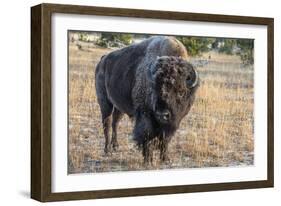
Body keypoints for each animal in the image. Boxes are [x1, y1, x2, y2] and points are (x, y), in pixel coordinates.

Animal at [95, 35, 198, 164]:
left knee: (115, 122)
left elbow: (165, 139)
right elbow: (147, 136)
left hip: (119, 107)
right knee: (107, 124)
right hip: (105, 103)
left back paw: (115, 146)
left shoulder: (170, 123)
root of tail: (102, 60)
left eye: (181, 92)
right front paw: (148, 160)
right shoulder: (146, 116)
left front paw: (165, 158)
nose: (162, 114)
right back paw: (107, 150)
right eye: (154, 89)